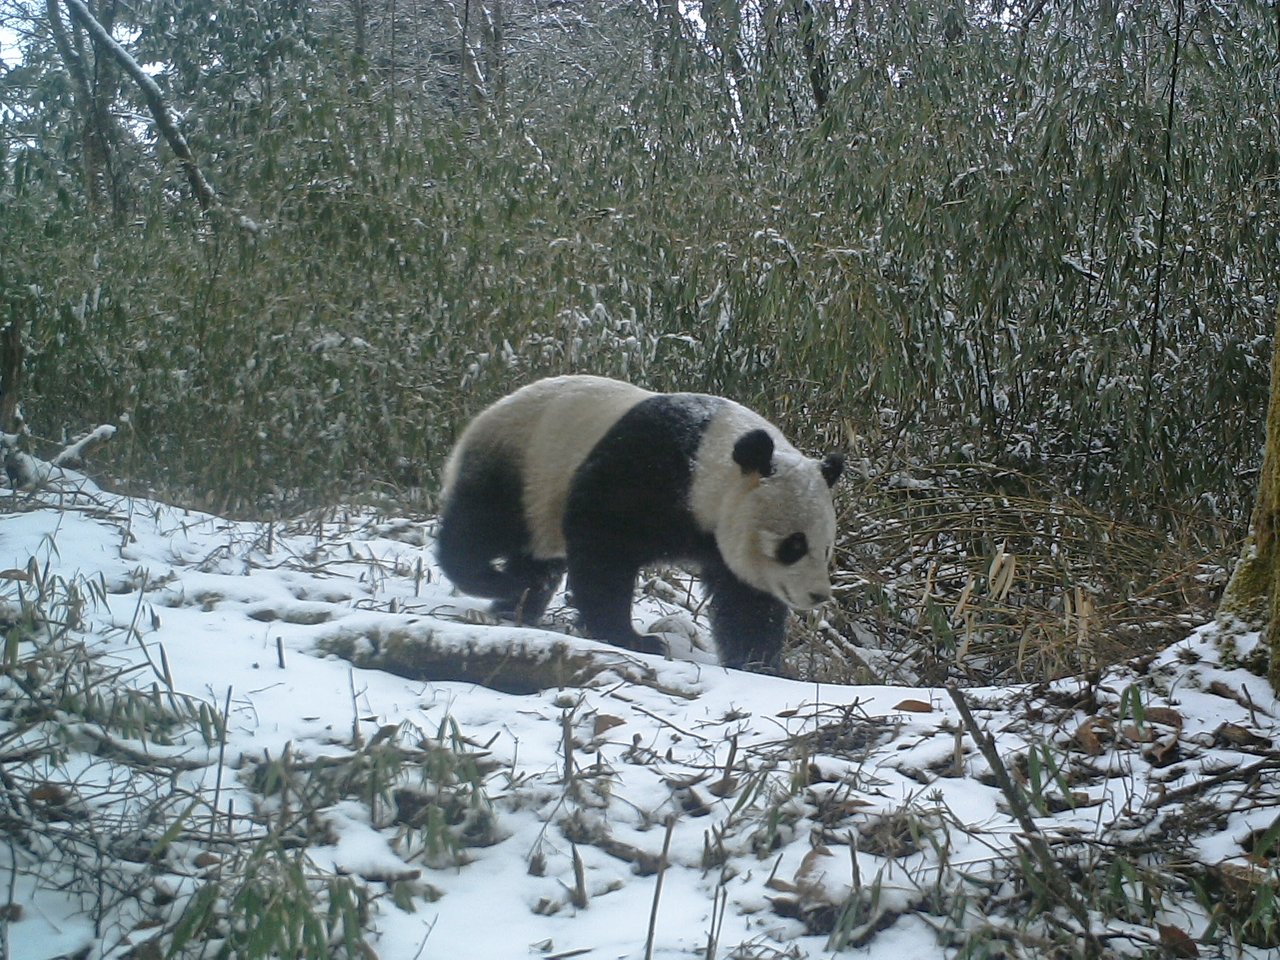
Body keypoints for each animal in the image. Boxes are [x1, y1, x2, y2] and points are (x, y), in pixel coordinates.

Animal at [435, 376, 844, 670]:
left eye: (825, 549)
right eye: (793, 544)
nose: (817, 595)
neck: (707, 460)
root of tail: (489, 411)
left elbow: (747, 603)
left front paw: (759, 664)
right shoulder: (644, 469)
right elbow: (604, 550)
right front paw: (631, 638)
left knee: (537, 558)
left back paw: (516, 602)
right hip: (524, 462)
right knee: (483, 524)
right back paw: (492, 580)